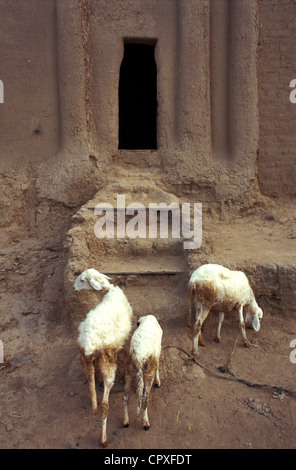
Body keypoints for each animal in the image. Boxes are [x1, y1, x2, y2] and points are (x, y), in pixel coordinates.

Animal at [74, 268, 133, 448]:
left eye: (82, 280)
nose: (74, 287)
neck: (107, 292)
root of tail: (89, 344)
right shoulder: (125, 339)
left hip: (86, 363)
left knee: (92, 388)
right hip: (108, 365)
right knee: (105, 405)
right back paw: (103, 439)